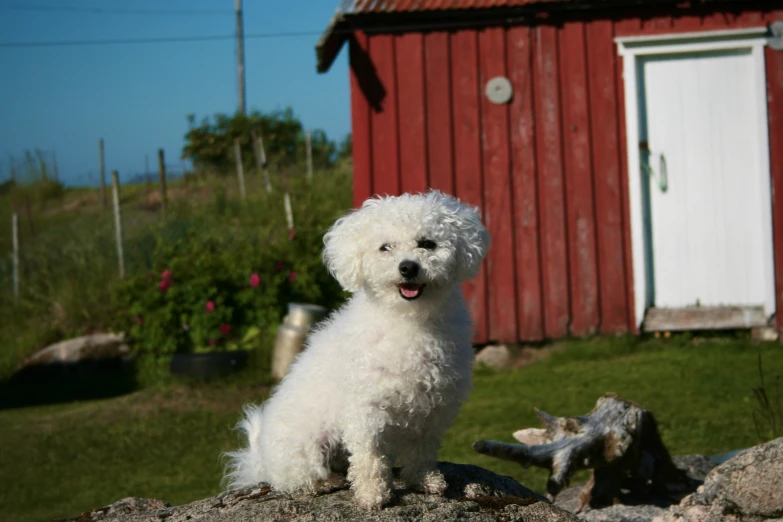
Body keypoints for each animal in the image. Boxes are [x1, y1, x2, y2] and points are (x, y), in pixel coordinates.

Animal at [225, 189, 490, 506]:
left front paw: (424, 480)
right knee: (295, 479)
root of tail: (262, 461)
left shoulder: (434, 407)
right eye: (385, 248)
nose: (408, 267)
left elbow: (422, 451)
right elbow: (369, 455)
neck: (408, 320)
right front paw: (373, 494)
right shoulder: (366, 407)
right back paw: (322, 483)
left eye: (427, 243)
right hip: (307, 445)